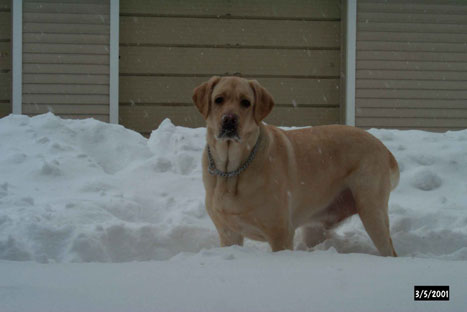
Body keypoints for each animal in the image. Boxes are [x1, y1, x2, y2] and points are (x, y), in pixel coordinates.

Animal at [192, 75, 400, 256]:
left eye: (246, 102)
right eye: (219, 99)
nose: (229, 119)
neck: (231, 171)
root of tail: (384, 148)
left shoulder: (280, 233)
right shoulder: (228, 233)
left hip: (372, 210)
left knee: (390, 252)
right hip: (314, 228)